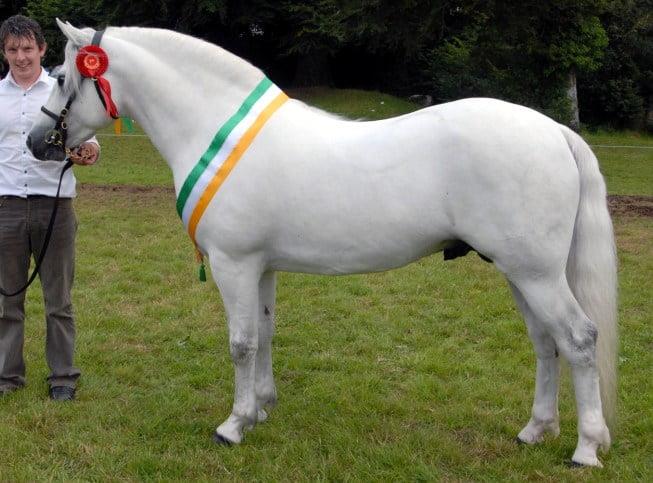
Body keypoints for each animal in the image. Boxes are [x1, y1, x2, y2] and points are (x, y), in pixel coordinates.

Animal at [28, 20, 618, 467]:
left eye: (61, 77)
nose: (38, 142)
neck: (215, 131)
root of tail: (554, 130)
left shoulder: (233, 265)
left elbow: (241, 343)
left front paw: (233, 425)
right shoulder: (261, 267)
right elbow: (265, 335)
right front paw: (261, 408)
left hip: (536, 274)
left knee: (579, 339)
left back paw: (586, 448)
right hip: (520, 272)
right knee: (546, 343)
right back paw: (535, 430)